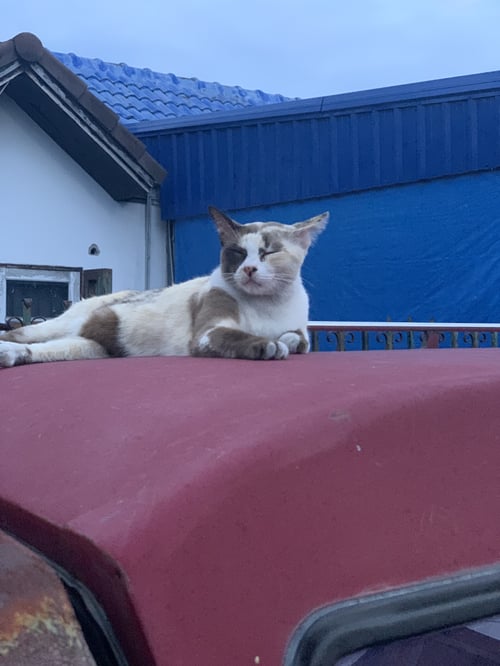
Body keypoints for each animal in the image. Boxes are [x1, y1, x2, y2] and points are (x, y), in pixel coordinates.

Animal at [0, 206, 328, 367]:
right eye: (237, 253)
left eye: (268, 253)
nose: (248, 269)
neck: (268, 306)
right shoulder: (207, 333)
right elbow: (241, 335)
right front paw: (268, 345)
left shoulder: (301, 332)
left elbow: (297, 339)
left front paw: (283, 341)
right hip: (65, 325)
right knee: (20, 334)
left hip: (89, 348)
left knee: (38, 350)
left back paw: (11, 356)